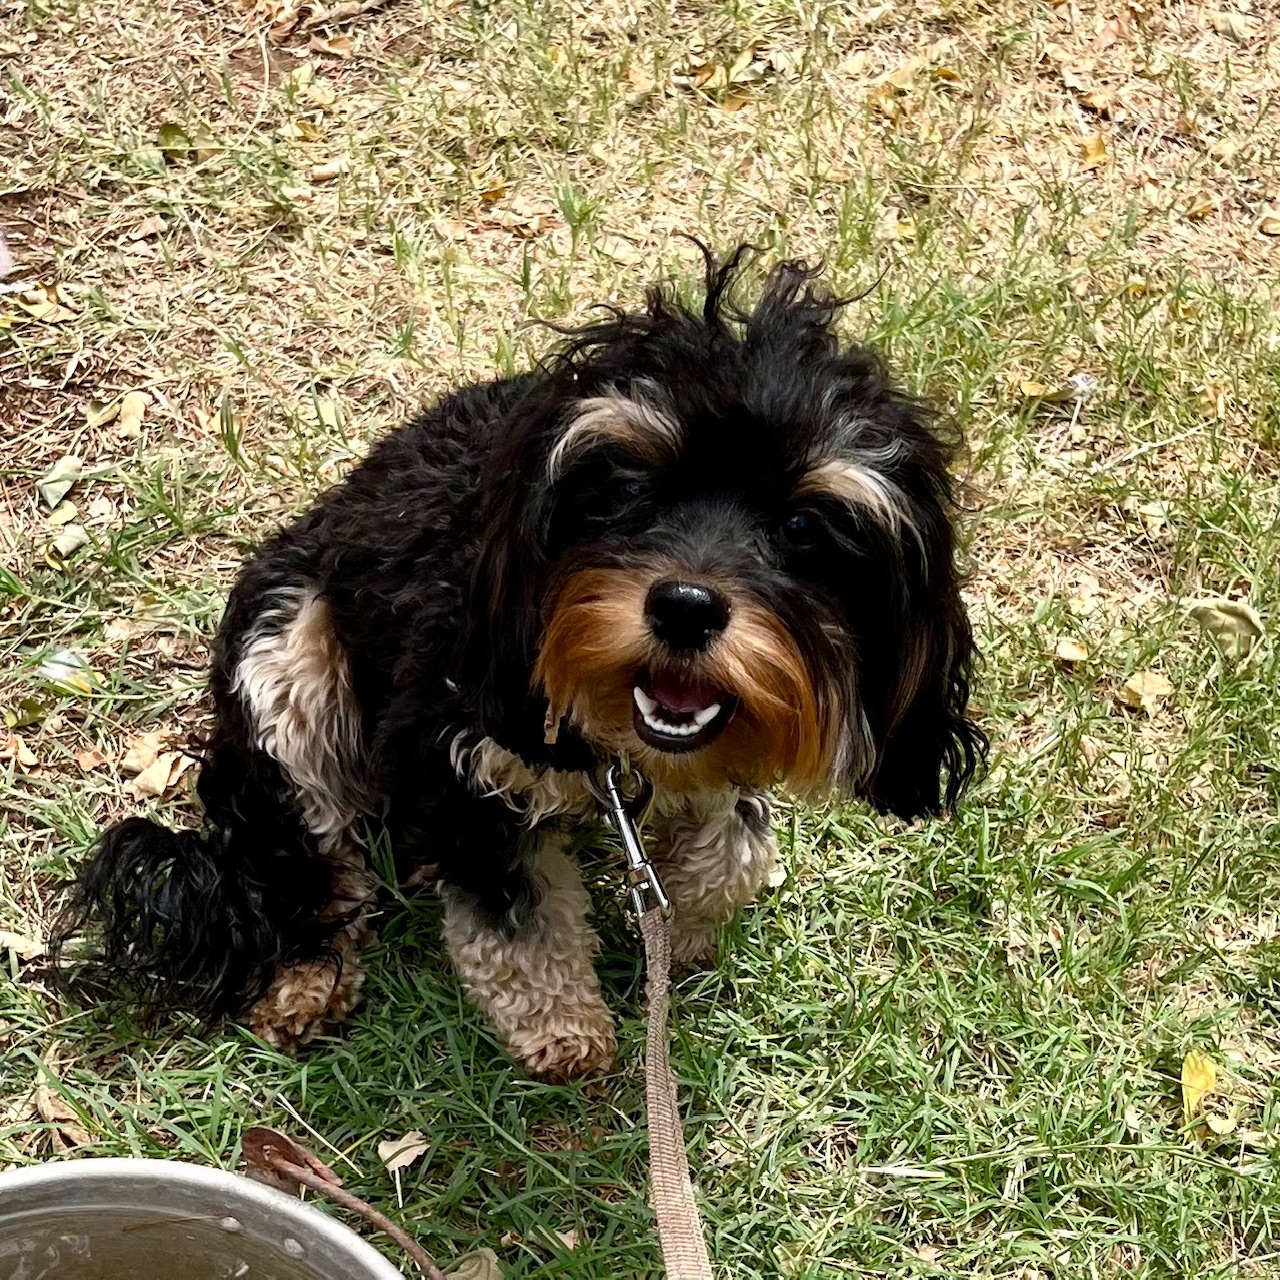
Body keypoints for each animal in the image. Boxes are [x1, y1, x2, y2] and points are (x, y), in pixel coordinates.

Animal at [62, 249, 988, 1080]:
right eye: (627, 490)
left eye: (803, 528)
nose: (686, 607)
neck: (618, 744)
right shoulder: (460, 760)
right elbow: (517, 917)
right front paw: (563, 1027)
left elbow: (735, 853)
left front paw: (684, 930)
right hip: (288, 669)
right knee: (304, 853)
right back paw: (308, 973)